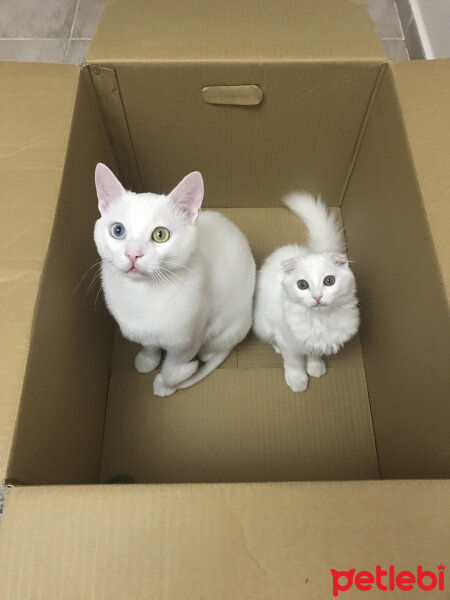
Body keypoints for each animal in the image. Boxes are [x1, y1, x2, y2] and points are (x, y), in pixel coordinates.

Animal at [93, 165, 255, 398]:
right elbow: (149, 343)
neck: (142, 295)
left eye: (160, 234)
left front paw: (169, 383)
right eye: (117, 230)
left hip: (228, 324)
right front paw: (147, 359)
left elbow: (173, 367)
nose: (133, 254)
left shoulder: (189, 339)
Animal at [253, 192, 358, 396]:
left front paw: (315, 367)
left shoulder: (317, 342)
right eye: (302, 285)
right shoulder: (288, 340)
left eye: (329, 281)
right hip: (263, 324)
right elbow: (294, 363)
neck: (319, 320)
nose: (317, 297)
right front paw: (298, 381)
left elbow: (314, 353)